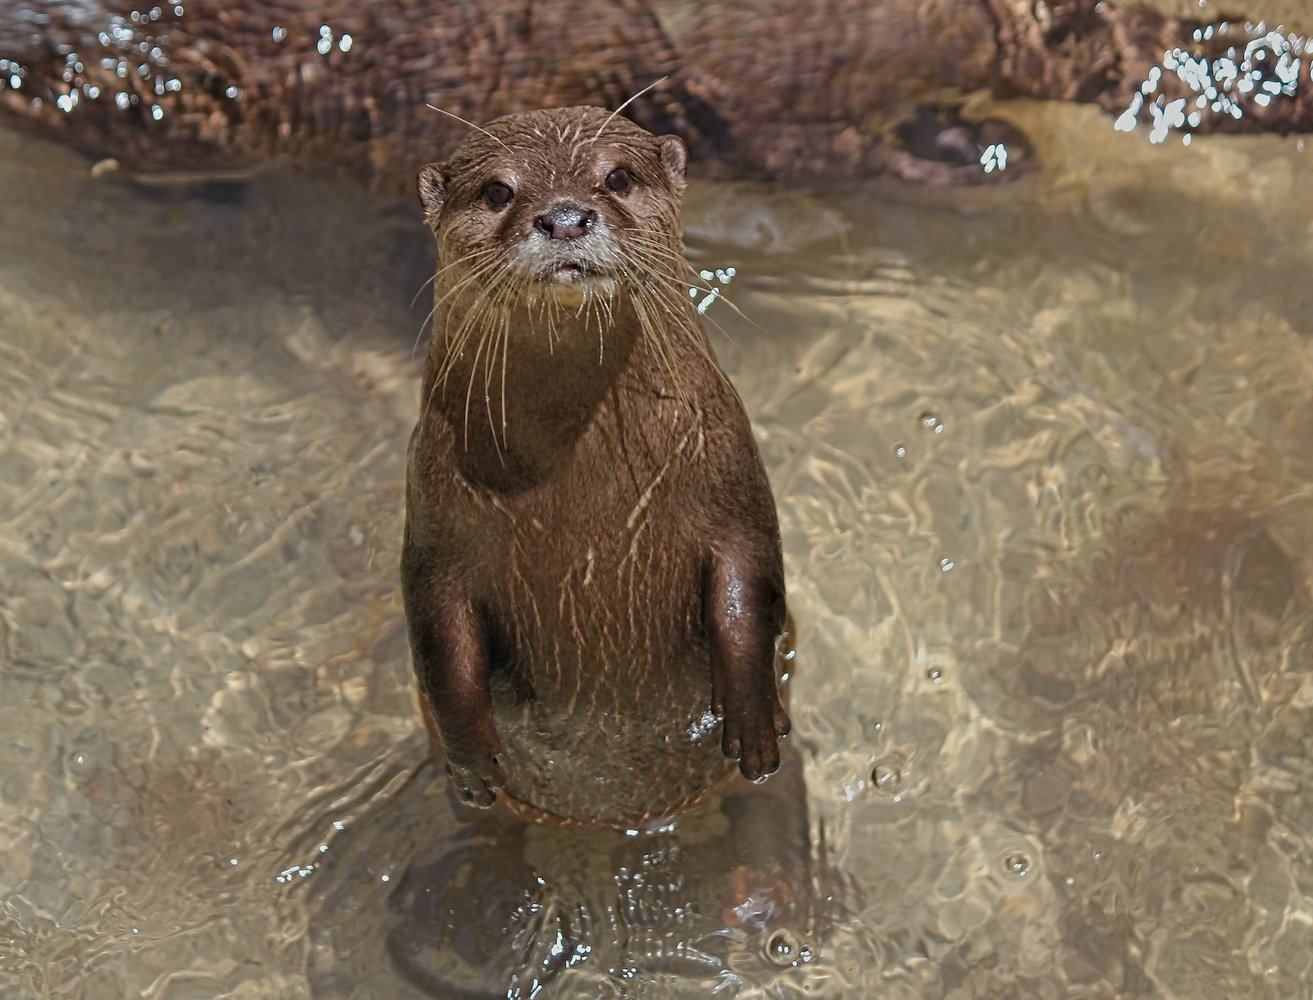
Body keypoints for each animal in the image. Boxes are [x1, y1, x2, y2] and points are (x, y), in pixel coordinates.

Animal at [399, 106, 787, 824]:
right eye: (497, 190)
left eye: (618, 177)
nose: (564, 217)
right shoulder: (433, 515)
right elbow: (440, 638)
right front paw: (471, 766)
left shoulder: (731, 475)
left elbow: (749, 588)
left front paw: (752, 724)